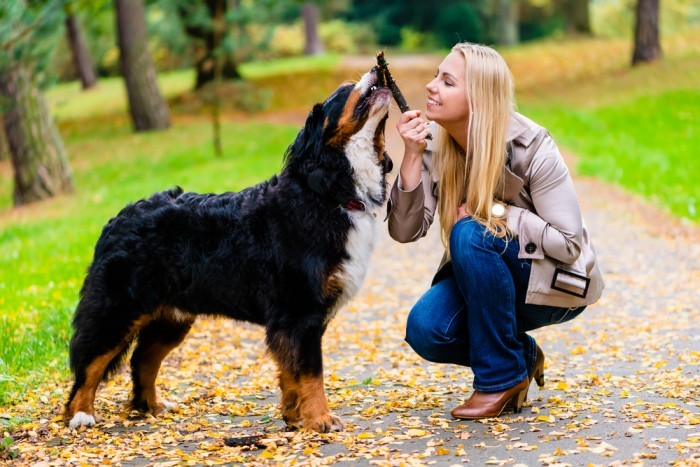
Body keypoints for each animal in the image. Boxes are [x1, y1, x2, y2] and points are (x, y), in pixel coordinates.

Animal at [63, 67, 394, 434]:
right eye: (345, 89)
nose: (377, 69)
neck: (328, 192)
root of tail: (116, 219)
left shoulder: (296, 319)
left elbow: (290, 372)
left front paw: (294, 417)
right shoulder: (300, 311)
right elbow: (310, 372)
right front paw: (320, 419)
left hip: (171, 318)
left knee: (142, 360)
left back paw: (151, 406)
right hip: (117, 310)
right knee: (89, 364)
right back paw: (81, 414)